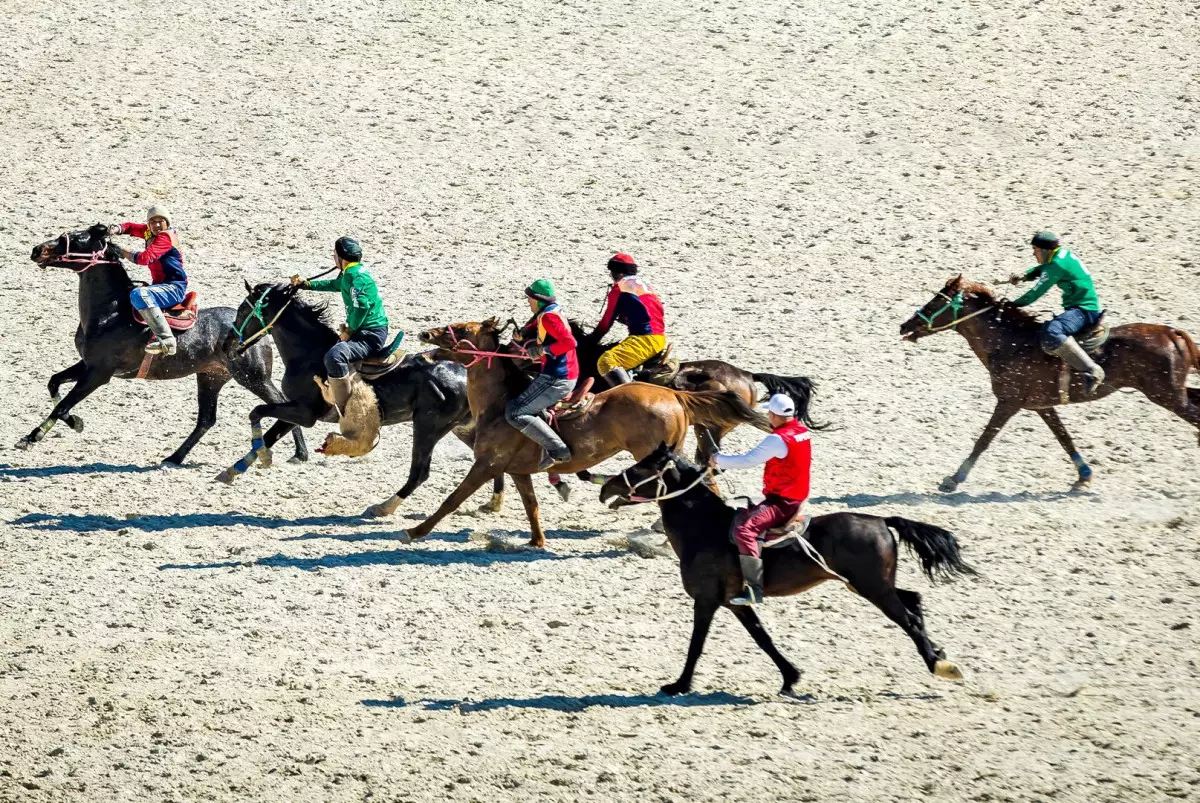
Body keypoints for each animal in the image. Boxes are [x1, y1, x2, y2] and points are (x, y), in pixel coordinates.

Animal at [25, 225, 307, 463]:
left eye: (75, 237)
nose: (37, 250)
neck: (110, 313)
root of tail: (260, 330)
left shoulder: (99, 373)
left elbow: (64, 403)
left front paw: (32, 436)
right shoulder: (87, 365)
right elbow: (54, 385)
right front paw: (73, 423)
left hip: (254, 378)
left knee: (281, 403)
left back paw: (300, 454)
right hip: (211, 377)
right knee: (206, 420)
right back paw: (174, 457)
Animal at [223, 278, 504, 511]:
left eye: (243, 310)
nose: (227, 345)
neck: (309, 355)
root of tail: (464, 373)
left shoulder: (304, 413)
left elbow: (256, 413)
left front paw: (262, 457)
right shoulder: (295, 410)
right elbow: (271, 434)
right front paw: (234, 469)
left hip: (427, 427)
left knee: (420, 473)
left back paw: (383, 507)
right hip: (463, 428)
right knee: (491, 459)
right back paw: (493, 503)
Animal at [369, 316, 772, 547]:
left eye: (465, 329)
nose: (426, 333)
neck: (501, 403)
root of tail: (674, 393)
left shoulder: (486, 464)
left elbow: (452, 499)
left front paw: (414, 531)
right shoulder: (517, 471)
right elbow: (531, 505)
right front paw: (537, 540)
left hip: (656, 455)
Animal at [595, 444, 969, 696]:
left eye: (641, 467)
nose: (604, 488)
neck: (704, 528)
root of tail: (880, 520)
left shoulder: (706, 600)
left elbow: (697, 644)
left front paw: (679, 684)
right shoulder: (735, 602)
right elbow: (763, 637)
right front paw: (790, 677)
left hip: (873, 588)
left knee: (908, 619)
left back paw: (940, 665)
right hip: (871, 584)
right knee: (913, 600)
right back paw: (938, 653)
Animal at [902, 273, 1200, 489]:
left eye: (935, 302)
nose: (905, 326)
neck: (1009, 342)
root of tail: (1172, 332)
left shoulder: (1008, 402)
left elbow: (985, 439)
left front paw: (954, 479)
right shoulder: (1042, 406)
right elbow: (1064, 438)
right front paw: (1084, 477)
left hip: (1168, 396)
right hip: (1174, 392)